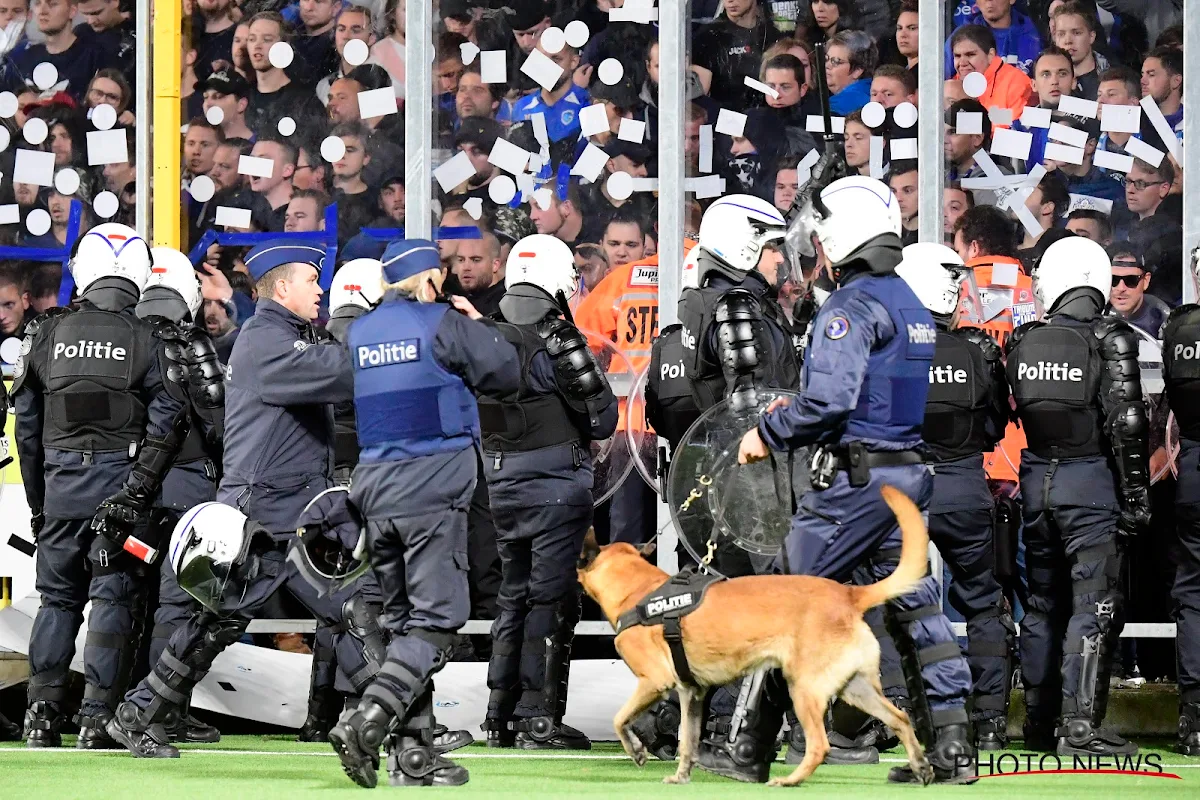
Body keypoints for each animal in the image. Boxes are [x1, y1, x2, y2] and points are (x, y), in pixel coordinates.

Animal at [580, 484, 936, 786]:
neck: (638, 590)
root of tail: (848, 595)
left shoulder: (655, 681)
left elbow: (619, 719)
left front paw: (636, 750)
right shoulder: (691, 693)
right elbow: (688, 741)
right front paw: (681, 776)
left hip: (803, 689)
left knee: (819, 744)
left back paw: (789, 780)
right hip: (856, 688)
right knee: (900, 719)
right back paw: (921, 767)